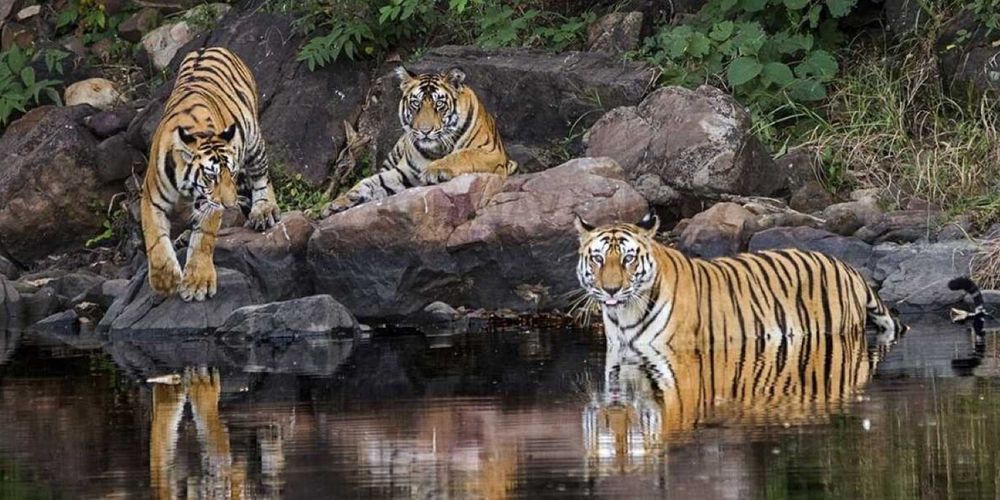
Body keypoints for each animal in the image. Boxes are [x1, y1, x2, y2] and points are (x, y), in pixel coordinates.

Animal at [140, 47, 280, 302]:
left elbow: (204, 238)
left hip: (253, 138)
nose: (230, 204)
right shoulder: (151, 198)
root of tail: (208, 47)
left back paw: (264, 210)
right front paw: (165, 280)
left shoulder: (211, 204)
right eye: (210, 176)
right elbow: (154, 238)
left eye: (231, 174)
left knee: (262, 176)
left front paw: (198, 283)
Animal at [325, 66, 517, 213]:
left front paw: (434, 170)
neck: (437, 149)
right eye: (416, 104)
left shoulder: (491, 153)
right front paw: (338, 202)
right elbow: (371, 182)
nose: (425, 131)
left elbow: (463, 154)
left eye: (439, 104)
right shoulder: (404, 172)